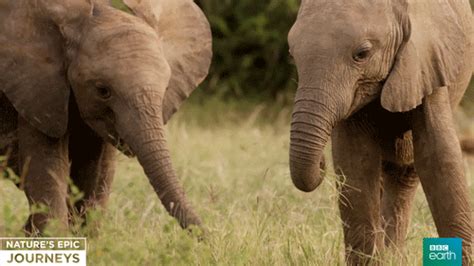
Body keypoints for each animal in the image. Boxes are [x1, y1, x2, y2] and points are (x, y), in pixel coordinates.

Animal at [0, 0, 211, 234]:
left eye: (165, 89)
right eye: (103, 91)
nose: (209, 236)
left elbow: (99, 172)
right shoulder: (37, 90)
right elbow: (47, 170)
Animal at [286, 0, 472, 264]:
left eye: (362, 54)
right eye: (292, 54)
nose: (321, 163)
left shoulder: (426, 60)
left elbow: (439, 157)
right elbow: (355, 163)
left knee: (406, 172)